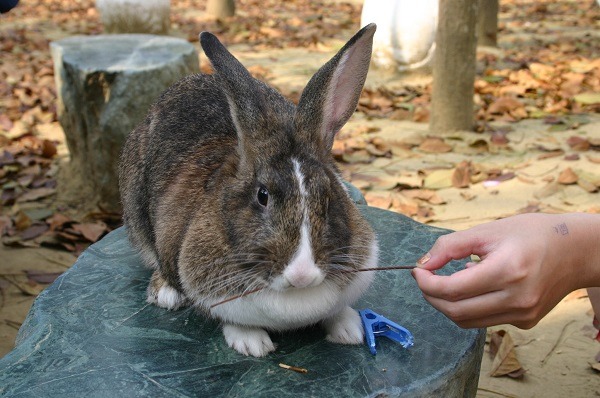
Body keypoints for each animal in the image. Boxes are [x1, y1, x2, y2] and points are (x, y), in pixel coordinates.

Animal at [119, 24, 378, 358]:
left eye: (330, 195)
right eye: (262, 196)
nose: (302, 274)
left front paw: (349, 330)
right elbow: (231, 319)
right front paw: (252, 344)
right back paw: (165, 293)